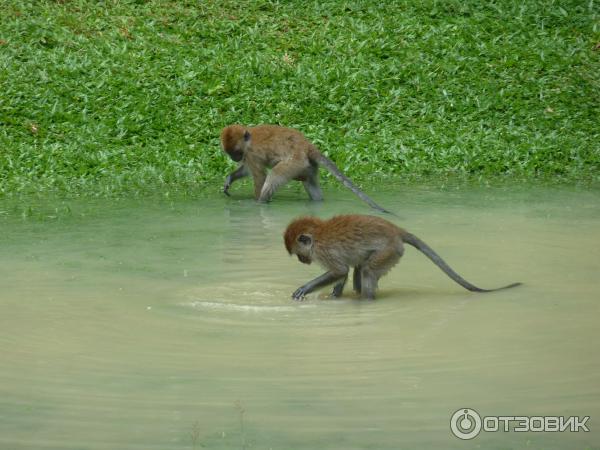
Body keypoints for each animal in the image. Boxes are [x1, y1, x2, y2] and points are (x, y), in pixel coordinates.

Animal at [223, 124, 392, 214]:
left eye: (236, 152)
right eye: (230, 153)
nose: (235, 158)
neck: (248, 139)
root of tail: (307, 146)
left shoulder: (251, 153)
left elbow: (260, 176)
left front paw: (256, 201)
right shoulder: (247, 156)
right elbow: (246, 170)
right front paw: (229, 179)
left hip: (295, 162)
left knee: (275, 175)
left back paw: (261, 202)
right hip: (307, 165)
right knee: (309, 182)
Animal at [282, 214, 520, 298]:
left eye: (299, 254)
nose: (303, 261)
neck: (318, 235)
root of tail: (396, 230)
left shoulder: (324, 251)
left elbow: (339, 270)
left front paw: (305, 289)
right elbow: (343, 272)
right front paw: (335, 296)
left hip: (391, 250)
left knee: (368, 271)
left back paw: (366, 300)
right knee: (361, 267)